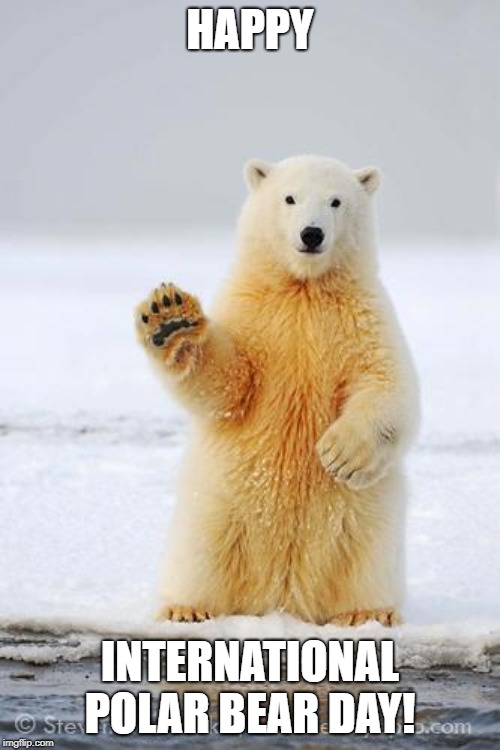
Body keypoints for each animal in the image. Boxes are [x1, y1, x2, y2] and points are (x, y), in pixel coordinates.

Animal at [135, 155, 419, 626]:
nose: (312, 233)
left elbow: (386, 383)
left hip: (368, 518)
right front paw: (171, 320)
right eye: (290, 198)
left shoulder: (364, 319)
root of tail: (283, 596)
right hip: (216, 505)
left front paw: (340, 455)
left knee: (367, 556)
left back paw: (366, 614)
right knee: (200, 552)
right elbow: (230, 384)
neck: (303, 288)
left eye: (336, 201)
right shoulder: (253, 315)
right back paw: (185, 608)